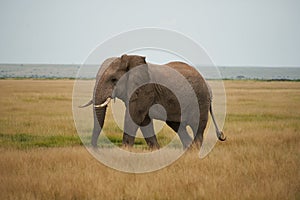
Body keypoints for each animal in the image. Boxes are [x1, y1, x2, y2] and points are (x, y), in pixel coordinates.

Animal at [79, 54, 225, 149]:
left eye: (113, 80)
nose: (96, 148)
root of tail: (208, 85)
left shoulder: (144, 89)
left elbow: (134, 116)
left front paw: (125, 151)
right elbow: (144, 121)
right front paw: (155, 150)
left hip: (200, 99)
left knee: (197, 127)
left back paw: (194, 150)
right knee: (178, 126)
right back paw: (189, 149)